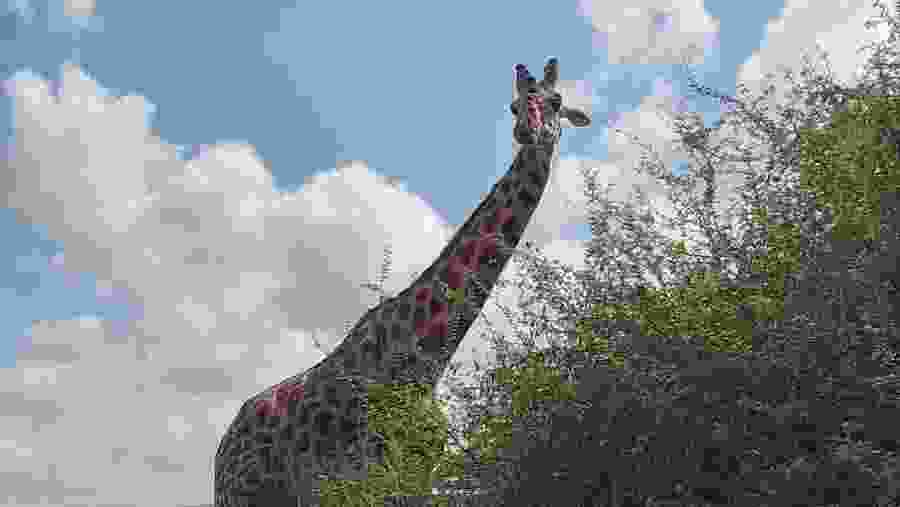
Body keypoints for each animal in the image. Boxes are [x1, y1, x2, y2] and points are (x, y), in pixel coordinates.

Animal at [213, 57, 591, 507]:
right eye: (513, 107)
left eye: (556, 101)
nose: (529, 133)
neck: (428, 360)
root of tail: (221, 449)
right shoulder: (363, 471)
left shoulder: (416, 477)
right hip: (242, 493)